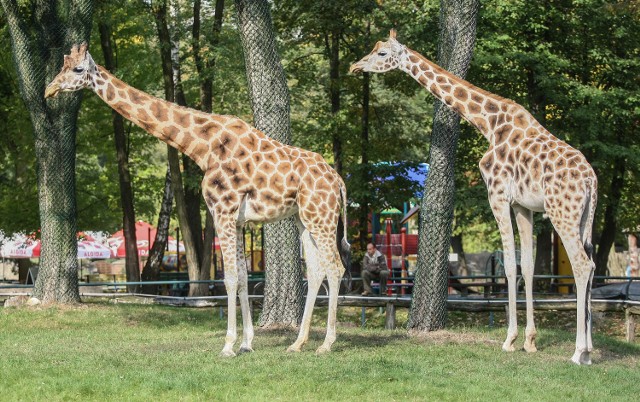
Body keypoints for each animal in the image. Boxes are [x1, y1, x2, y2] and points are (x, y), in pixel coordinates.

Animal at [46, 43, 350, 358]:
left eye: (77, 69)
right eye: (62, 65)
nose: (49, 90)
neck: (203, 148)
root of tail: (338, 181)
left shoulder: (223, 210)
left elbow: (229, 278)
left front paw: (228, 345)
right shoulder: (237, 220)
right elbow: (242, 277)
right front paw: (246, 343)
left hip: (322, 218)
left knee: (335, 267)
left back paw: (326, 344)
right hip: (305, 219)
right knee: (316, 271)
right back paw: (298, 343)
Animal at [350, 29, 600, 364]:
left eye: (381, 53)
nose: (355, 66)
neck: (489, 125)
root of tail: (590, 180)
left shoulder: (497, 194)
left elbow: (509, 265)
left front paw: (509, 339)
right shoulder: (523, 206)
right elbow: (528, 265)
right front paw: (530, 341)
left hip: (562, 213)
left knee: (582, 265)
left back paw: (579, 352)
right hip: (585, 217)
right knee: (592, 264)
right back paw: (589, 349)